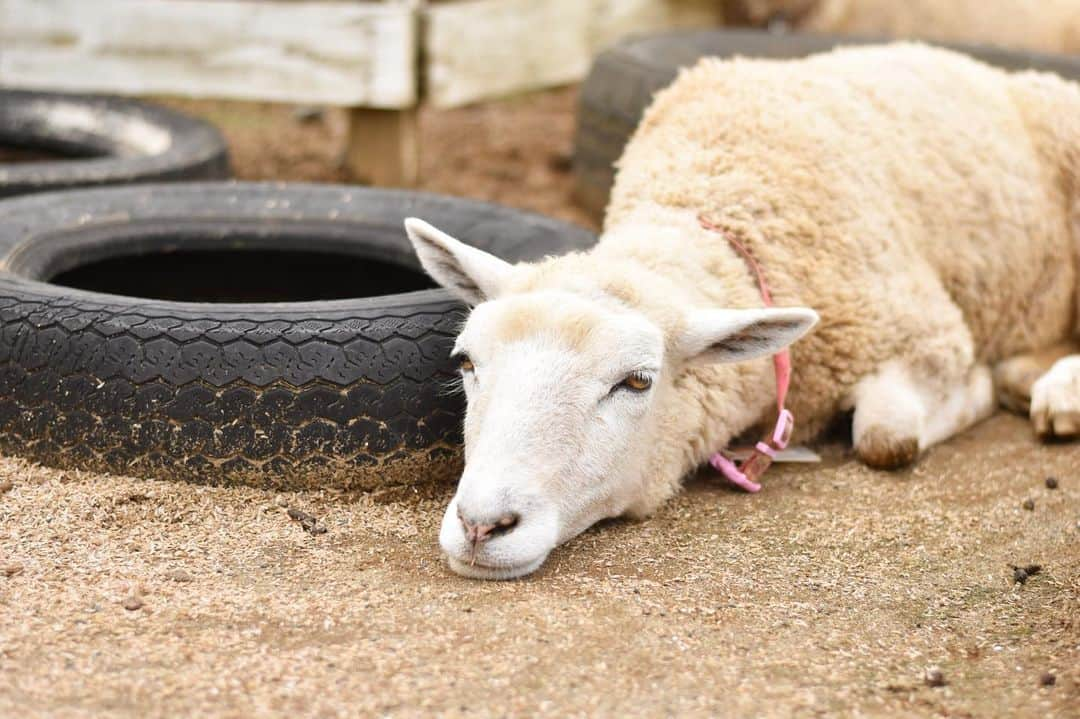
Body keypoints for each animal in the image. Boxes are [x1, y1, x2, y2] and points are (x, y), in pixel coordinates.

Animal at [406, 43, 1080, 578]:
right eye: (466, 362)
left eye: (637, 381)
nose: (483, 525)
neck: (724, 208)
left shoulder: (929, 333)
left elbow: (885, 439)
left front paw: (980, 390)